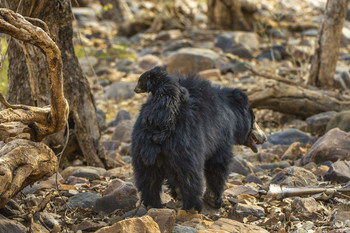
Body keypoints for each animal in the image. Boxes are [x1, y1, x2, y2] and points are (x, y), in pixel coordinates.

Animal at [131, 65, 266, 211]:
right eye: (254, 120)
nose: (265, 138)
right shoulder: (220, 134)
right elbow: (218, 164)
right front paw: (214, 200)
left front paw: (177, 192)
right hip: (186, 145)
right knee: (190, 177)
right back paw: (193, 206)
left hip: (141, 148)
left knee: (148, 180)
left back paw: (153, 204)